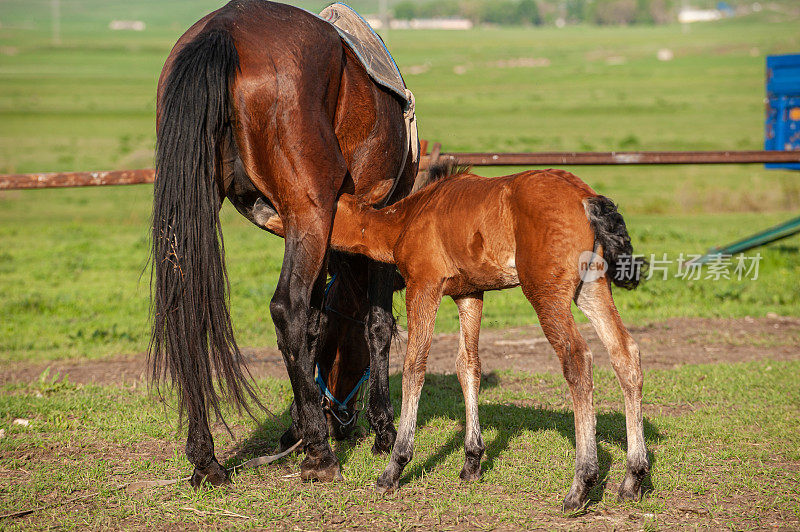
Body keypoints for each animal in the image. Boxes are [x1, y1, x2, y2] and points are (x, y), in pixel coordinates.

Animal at [149, 0, 416, 488]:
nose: (342, 420)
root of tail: (225, 28)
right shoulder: (378, 215)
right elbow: (376, 323)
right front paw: (382, 429)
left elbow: (314, 324)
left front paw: (297, 423)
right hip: (309, 210)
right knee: (286, 307)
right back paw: (320, 455)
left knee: (190, 311)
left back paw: (208, 459)